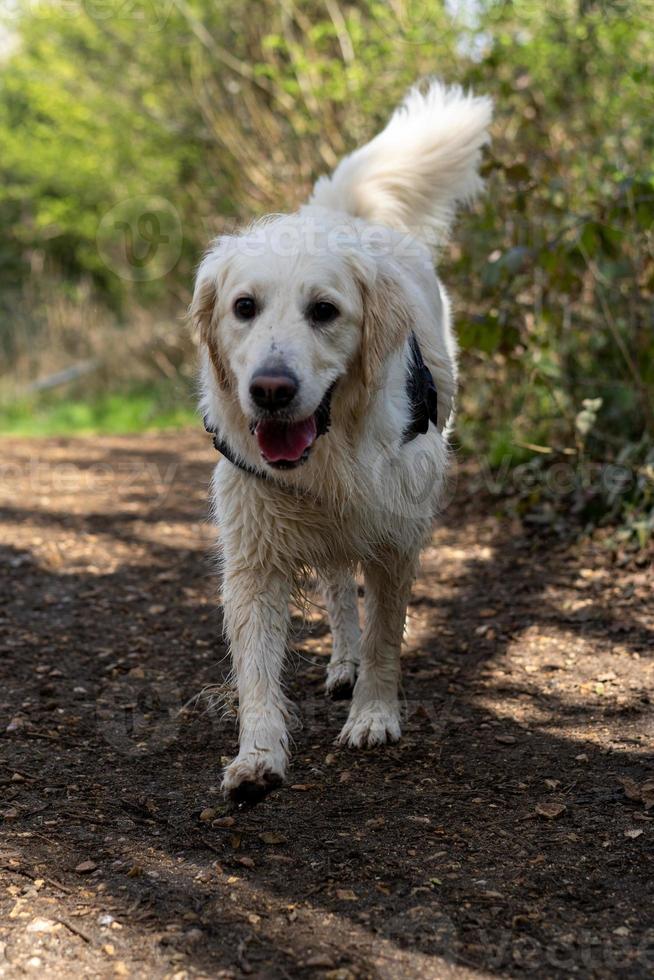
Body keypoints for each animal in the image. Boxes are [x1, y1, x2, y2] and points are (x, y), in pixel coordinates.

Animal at [192, 80, 494, 804]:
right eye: (244, 307)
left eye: (324, 310)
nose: (271, 389)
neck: (328, 454)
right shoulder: (254, 552)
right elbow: (256, 667)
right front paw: (258, 754)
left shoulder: (395, 537)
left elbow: (388, 633)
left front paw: (375, 716)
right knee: (334, 587)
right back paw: (342, 660)